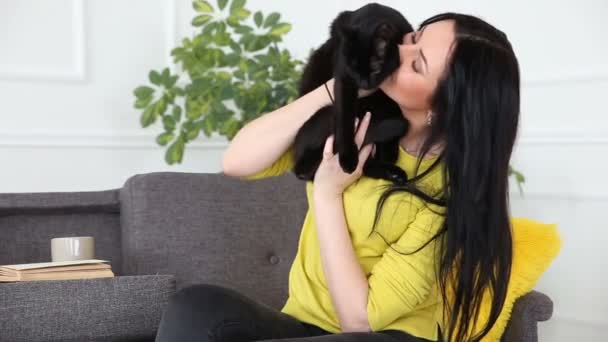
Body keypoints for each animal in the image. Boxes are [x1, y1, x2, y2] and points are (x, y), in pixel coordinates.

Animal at [292, 2, 416, 184]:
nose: (363, 83)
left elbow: (394, 108)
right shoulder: (344, 80)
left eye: (375, 69)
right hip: (327, 114)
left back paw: (393, 171)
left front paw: (389, 151)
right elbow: (345, 119)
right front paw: (348, 158)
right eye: (352, 67)